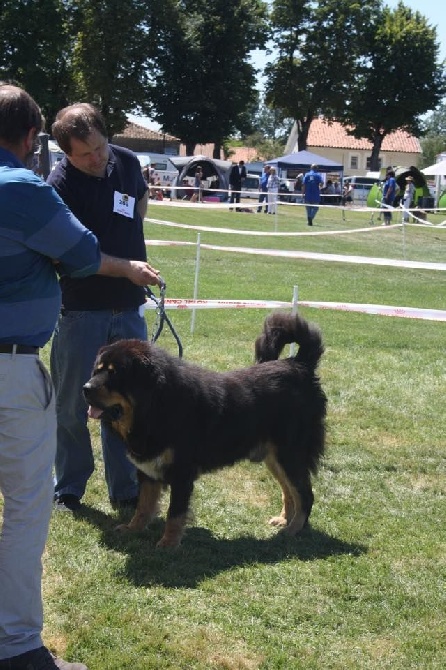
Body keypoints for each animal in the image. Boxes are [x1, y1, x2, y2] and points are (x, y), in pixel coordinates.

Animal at [84, 312, 328, 548]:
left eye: (114, 374)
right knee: (289, 491)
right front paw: (133, 529)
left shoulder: (181, 472)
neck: (156, 406)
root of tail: (300, 364)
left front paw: (168, 544)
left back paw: (293, 529)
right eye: (97, 371)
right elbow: (143, 506)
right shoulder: (148, 469)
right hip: (274, 457)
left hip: (290, 454)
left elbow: (175, 514)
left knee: (305, 494)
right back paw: (284, 519)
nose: (85, 388)